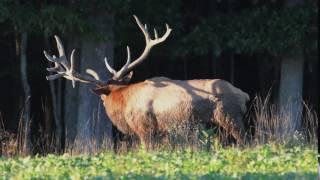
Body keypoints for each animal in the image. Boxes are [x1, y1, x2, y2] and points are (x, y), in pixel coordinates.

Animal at [43, 15, 249, 148]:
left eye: (102, 97)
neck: (124, 100)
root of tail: (244, 95)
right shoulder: (164, 132)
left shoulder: (145, 128)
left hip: (230, 117)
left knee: (247, 141)